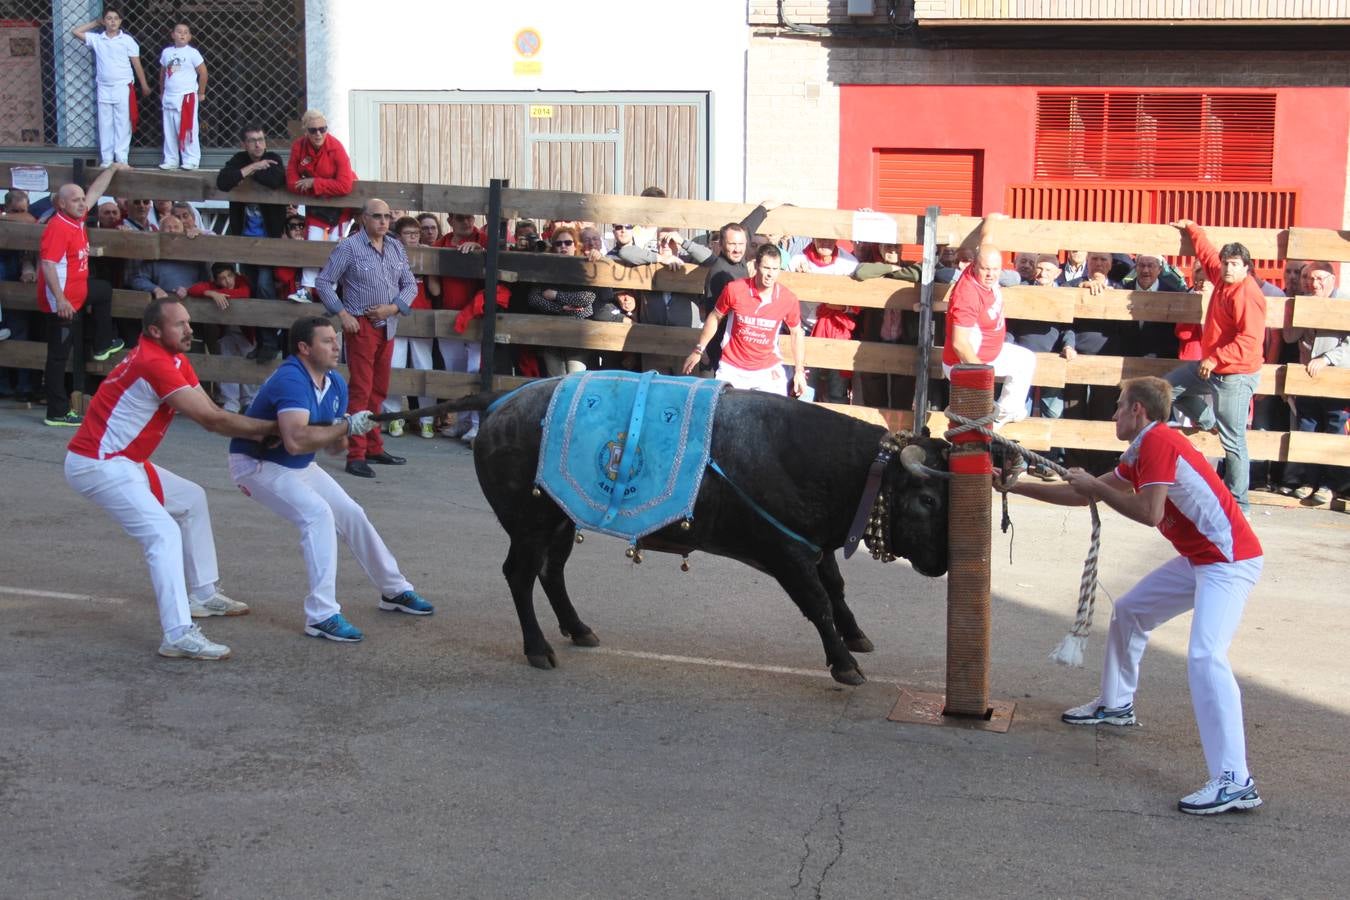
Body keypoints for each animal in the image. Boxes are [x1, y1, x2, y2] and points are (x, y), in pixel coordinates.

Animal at [391, 383, 955, 685]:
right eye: (927, 500)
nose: (945, 563)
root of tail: (499, 403)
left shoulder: (813, 546)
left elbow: (836, 588)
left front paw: (856, 636)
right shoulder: (787, 555)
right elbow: (817, 602)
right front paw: (844, 664)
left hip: (560, 521)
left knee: (551, 574)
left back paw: (578, 628)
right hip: (528, 525)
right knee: (519, 575)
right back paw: (538, 648)